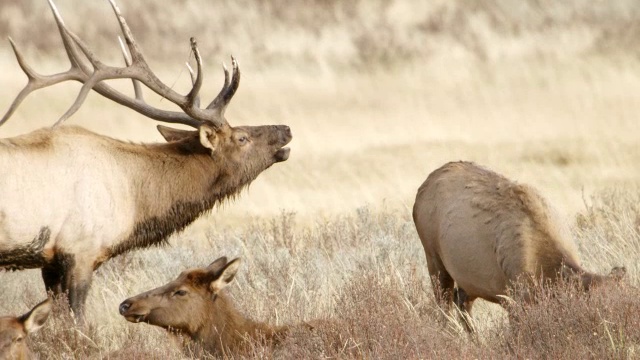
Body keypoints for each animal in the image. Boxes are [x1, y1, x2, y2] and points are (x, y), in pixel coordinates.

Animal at [0, 0, 292, 320]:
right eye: (242, 138)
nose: (286, 129)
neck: (135, 202)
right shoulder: (80, 250)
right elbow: (77, 320)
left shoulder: (50, 261)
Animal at [412, 162, 628, 330]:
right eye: (600, 308)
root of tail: (420, 191)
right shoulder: (517, 298)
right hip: (434, 259)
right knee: (444, 306)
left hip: (469, 279)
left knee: (462, 301)